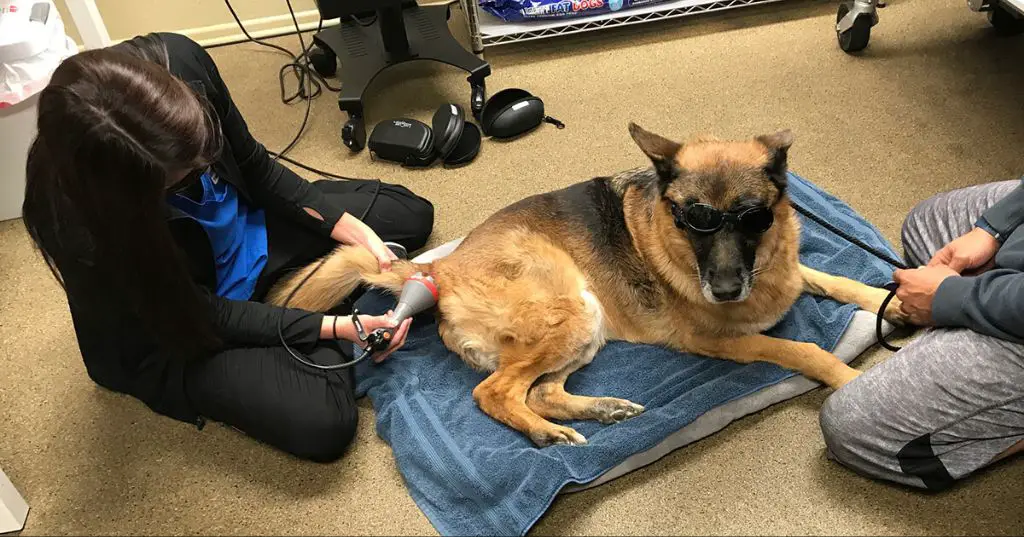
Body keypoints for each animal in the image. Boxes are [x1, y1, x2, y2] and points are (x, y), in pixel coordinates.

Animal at [268, 124, 909, 446]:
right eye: (693, 221)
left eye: (752, 218)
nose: (726, 290)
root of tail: (438, 271)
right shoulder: (718, 340)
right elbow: (799, 348)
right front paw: (849, 378)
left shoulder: (790, 271)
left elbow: (838, 278)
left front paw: (895, 299)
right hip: (571, 307)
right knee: (495, 393)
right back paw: (546, 435)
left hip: (585, 326)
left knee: (540, 392)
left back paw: (598, 411)